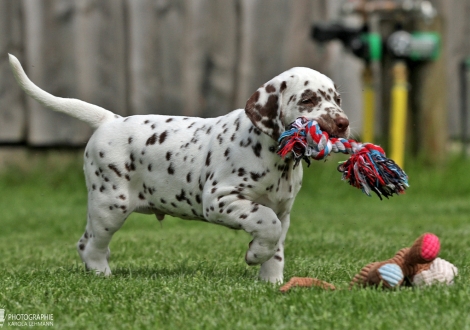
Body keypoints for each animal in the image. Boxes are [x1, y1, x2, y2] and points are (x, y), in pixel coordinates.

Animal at [8, 54, 348, 284]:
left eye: (337, 99)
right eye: (308, 99)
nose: (343, 123)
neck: (274, 156)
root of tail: (110, 120)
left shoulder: (283, 209)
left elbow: (276, 241)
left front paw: (271, 279)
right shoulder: (220, 199)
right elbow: (266, 223)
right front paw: (255, 255)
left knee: (88, 241)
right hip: (110, 205)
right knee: (90, 244)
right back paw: (101, 273)